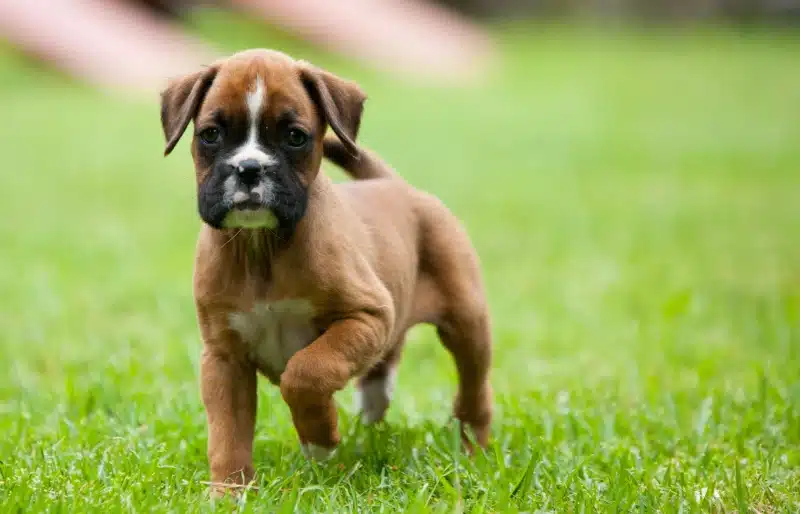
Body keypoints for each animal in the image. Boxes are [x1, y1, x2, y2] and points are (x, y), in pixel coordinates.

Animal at [159, 49, 490, 488]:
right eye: (210, 134)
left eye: (295, 136)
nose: (249, 168)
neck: (261, 249)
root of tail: (397, 186)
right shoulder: (223, 359)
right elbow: (227, 433)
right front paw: (230, 490)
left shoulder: (366, 317)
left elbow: (307, 371)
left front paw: (318, 438)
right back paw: (374, 405)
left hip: (467, 323)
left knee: (474, 388)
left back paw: (473, 445)